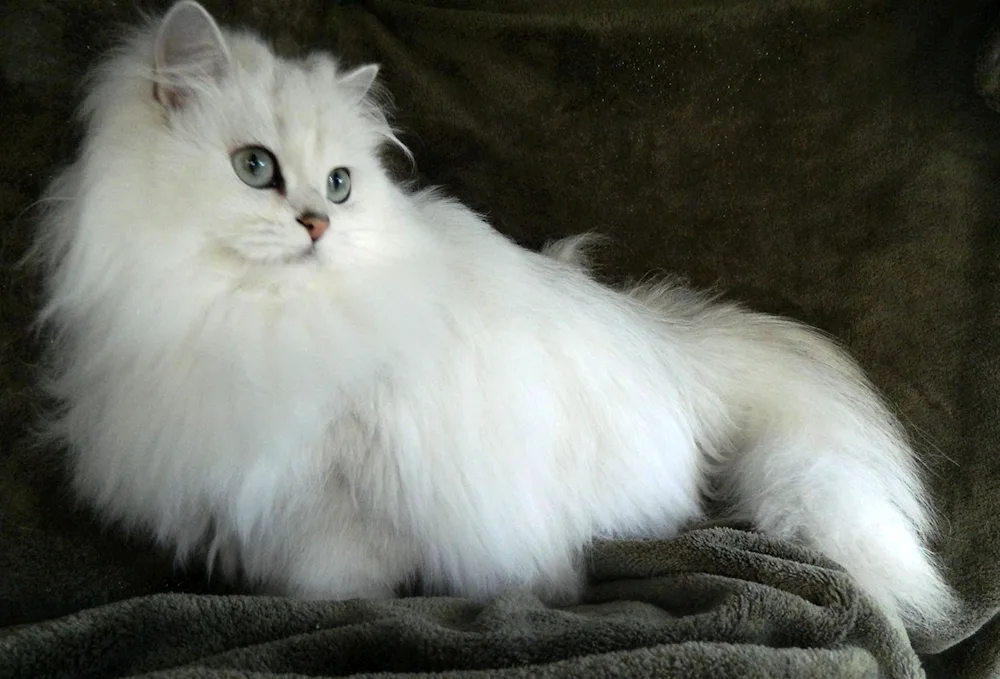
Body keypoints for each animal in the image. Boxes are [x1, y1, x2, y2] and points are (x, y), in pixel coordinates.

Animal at [37, 0, 960, 644]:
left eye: (338, 183)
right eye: (255, 168)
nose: (317, 224)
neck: (246, 314)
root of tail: (670, 347)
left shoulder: (337, 492)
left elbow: (332, 581)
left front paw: (321, 612)